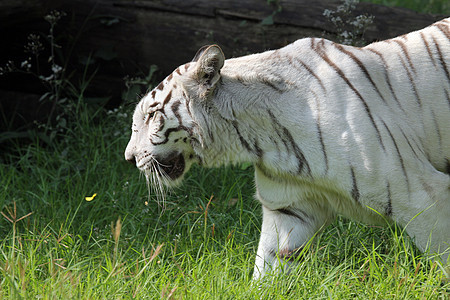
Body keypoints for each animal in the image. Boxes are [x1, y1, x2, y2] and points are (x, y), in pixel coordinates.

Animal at [125, 18, 450, 278]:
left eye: (151, 116)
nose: (129, 157)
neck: (260, 139)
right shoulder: (289, 207)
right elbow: (270, 264)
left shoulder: (419, 196)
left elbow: (443, 256)